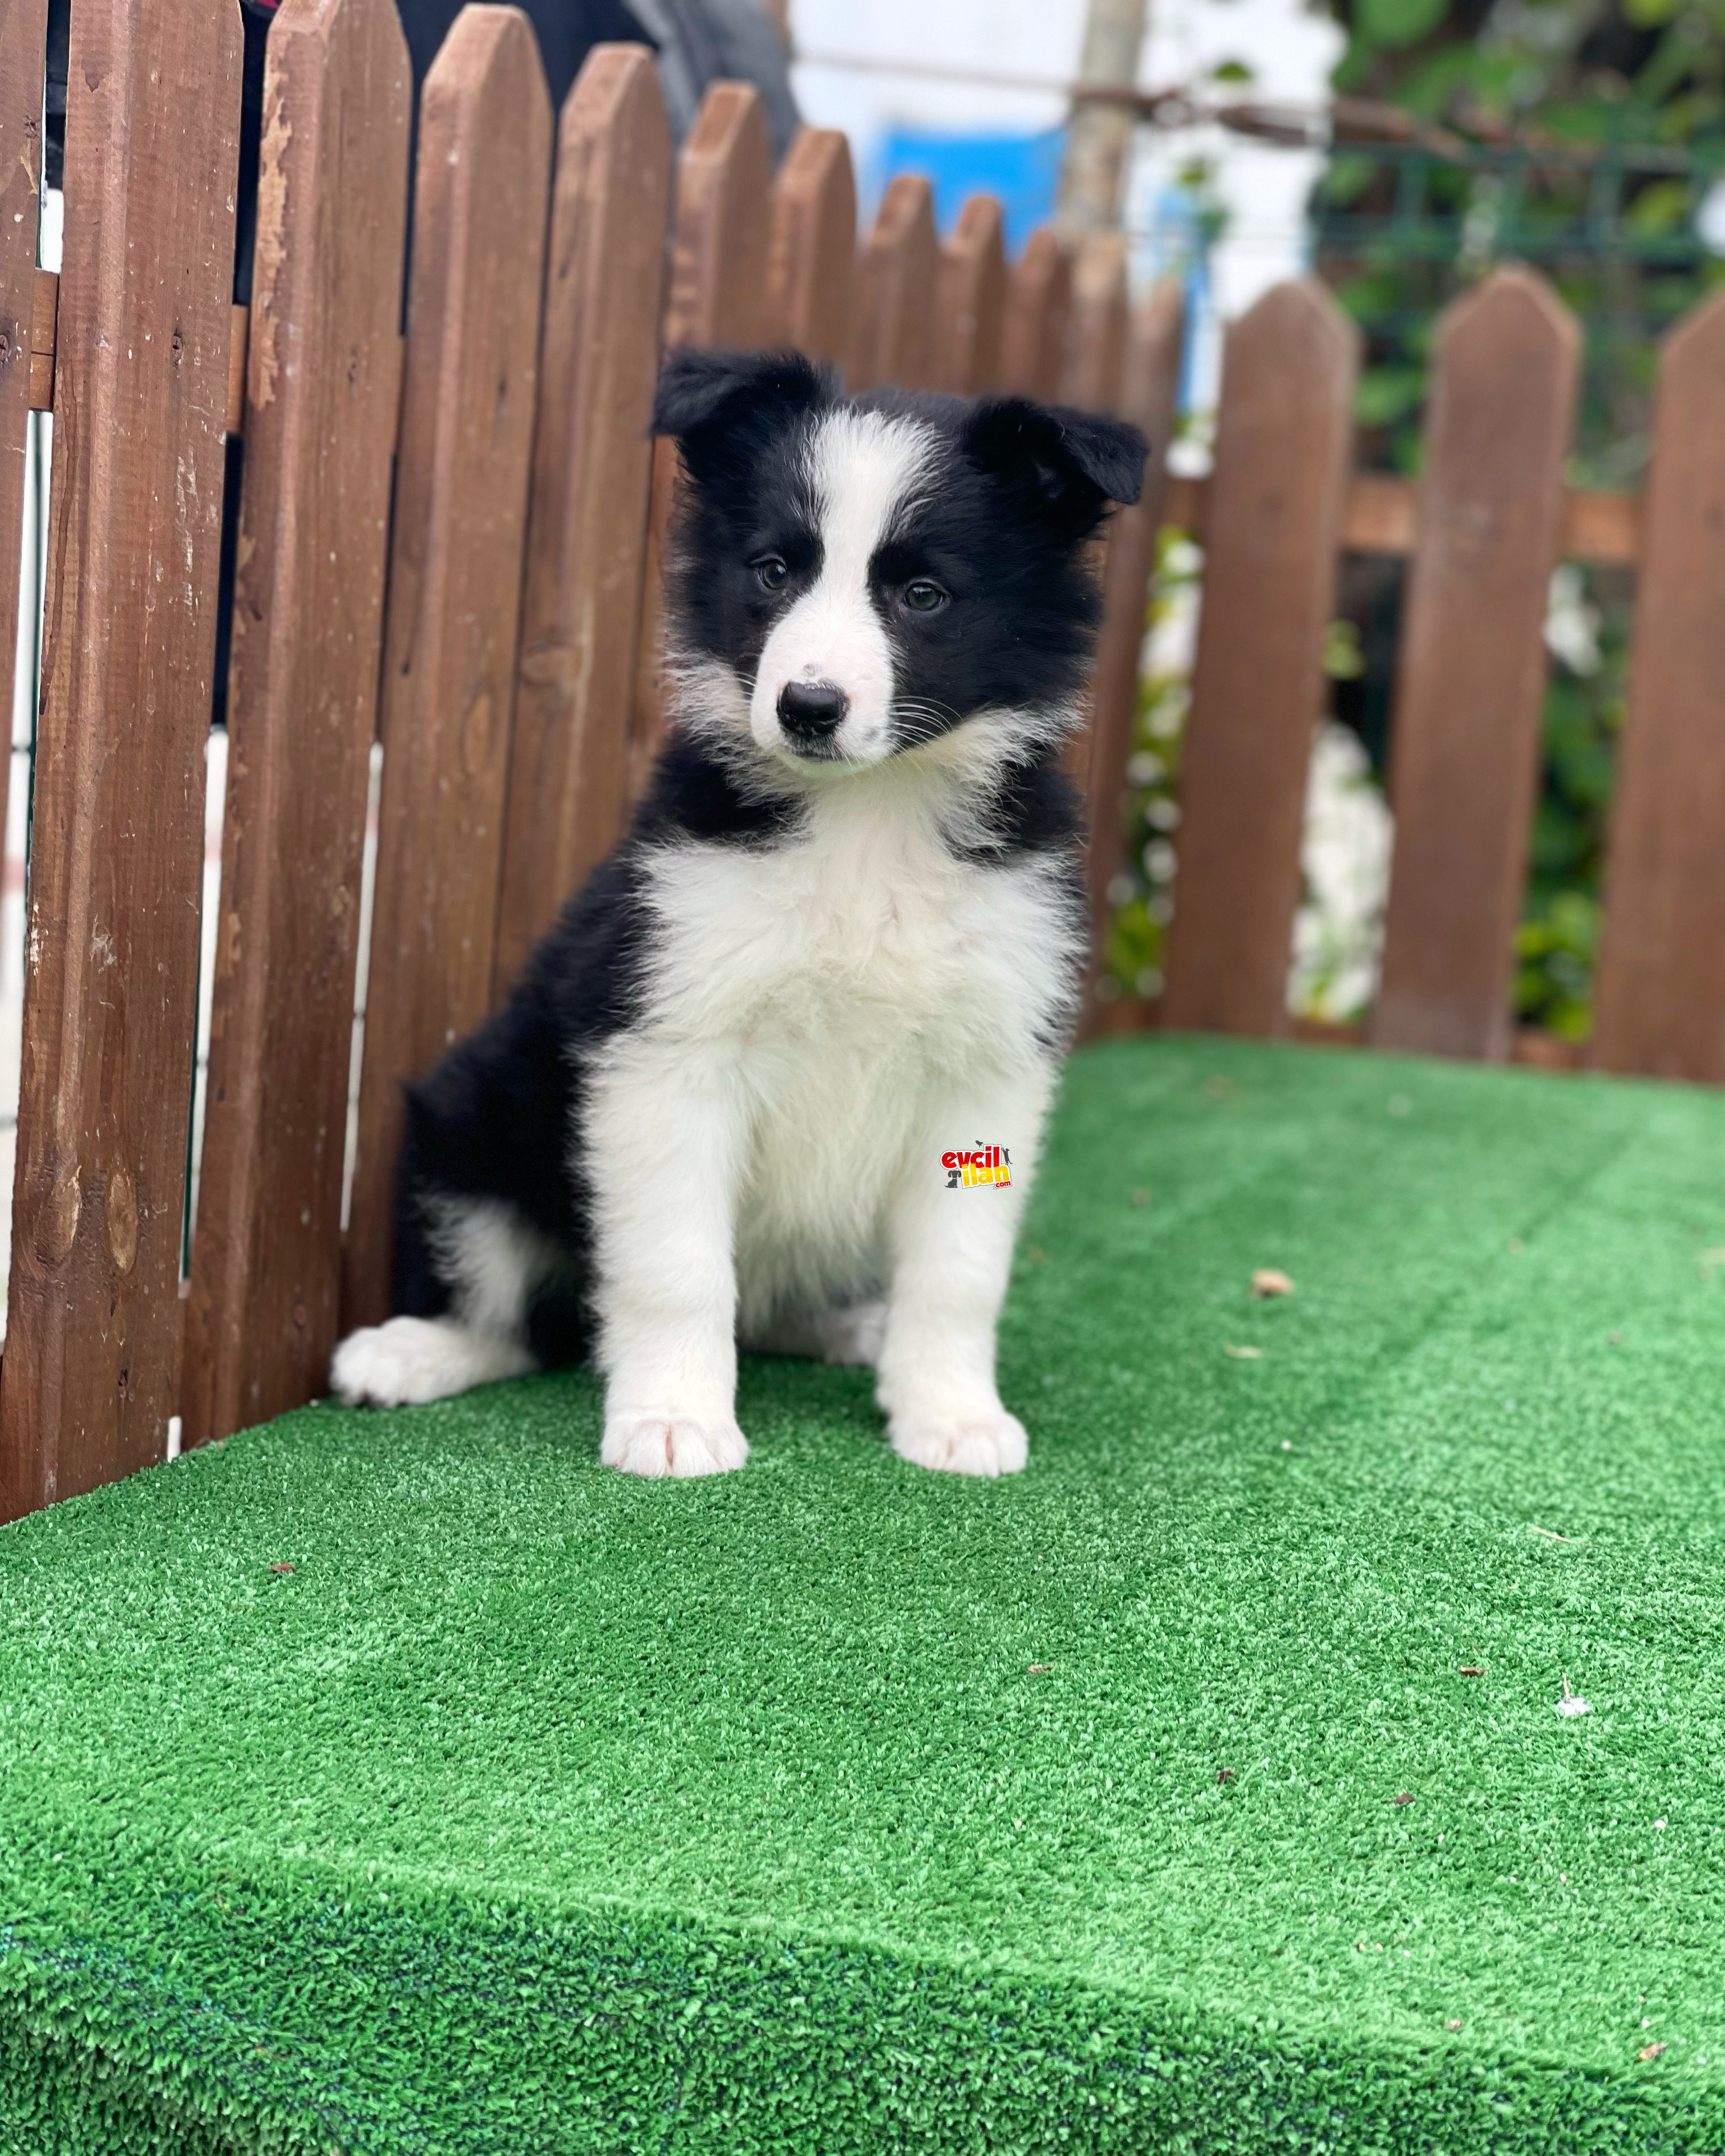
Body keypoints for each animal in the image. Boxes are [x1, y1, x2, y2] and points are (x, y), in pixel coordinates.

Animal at [334, 353, 1147, 1483]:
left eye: (923, 595)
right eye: (771, 572)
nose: (807, 706)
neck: (866, 819)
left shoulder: (986, 1065)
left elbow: (958, 1270)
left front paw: (950, 1415)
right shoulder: (665, 1047)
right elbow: (676, 1265)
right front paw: (675, 1420)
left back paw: (856, 1332)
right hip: (473, 1120)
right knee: (513, 1314)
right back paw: (406, 1354)